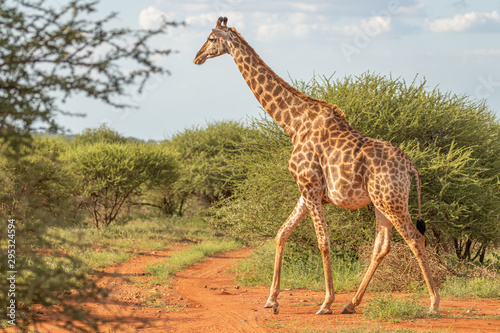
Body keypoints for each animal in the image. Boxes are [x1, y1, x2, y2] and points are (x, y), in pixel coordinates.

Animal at [193, 17, 440, 314]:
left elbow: (323, 242)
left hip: (392, 200)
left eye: (210, 38)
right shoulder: (306, 192)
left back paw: (433, 304)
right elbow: (281, 234)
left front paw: (326, 302)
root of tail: (411, 167)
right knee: (381, 246)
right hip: (381, 202)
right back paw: (351, 304)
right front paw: (271, 299)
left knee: (415, 238)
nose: (197, 57)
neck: (293, 124)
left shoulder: (310, 188)